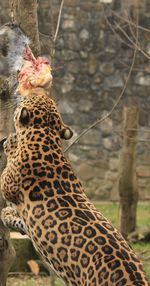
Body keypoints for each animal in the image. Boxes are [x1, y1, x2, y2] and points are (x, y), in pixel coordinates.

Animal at [0, 88, 149, 284]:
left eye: (32, 98)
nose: (35, 91)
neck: (47, 135)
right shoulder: (30, 223)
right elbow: (20, 221)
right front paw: (7, 214)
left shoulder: (8, 185)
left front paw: (11, 142)